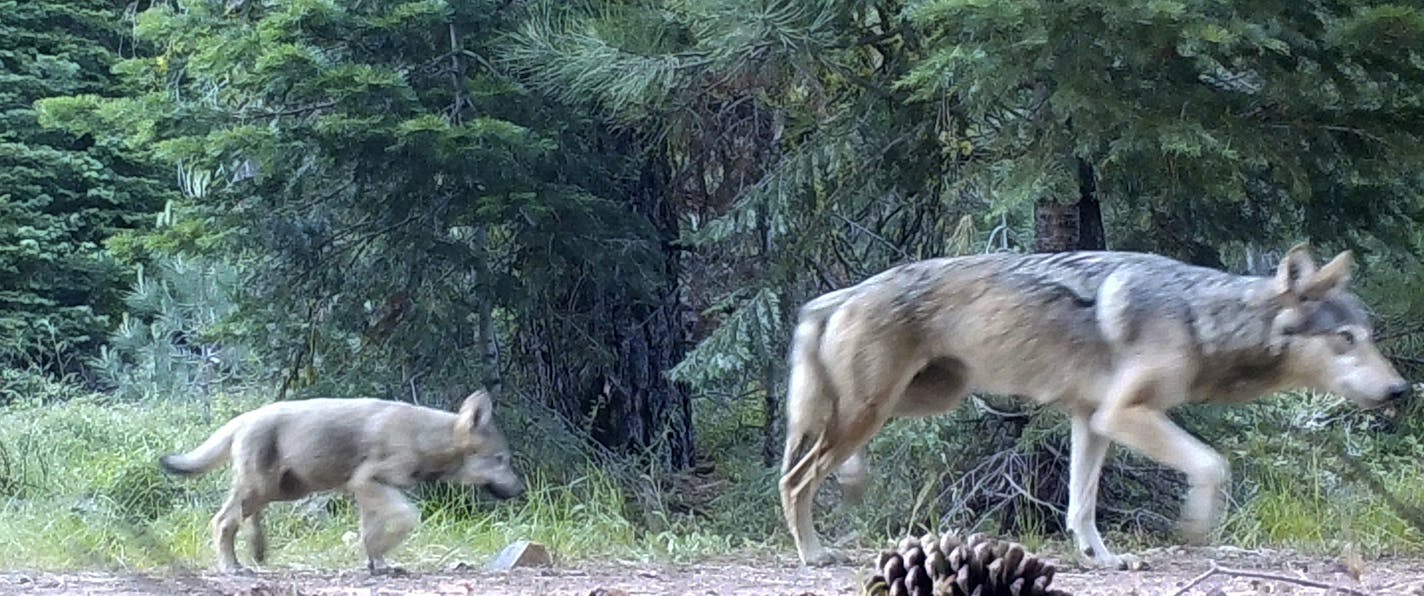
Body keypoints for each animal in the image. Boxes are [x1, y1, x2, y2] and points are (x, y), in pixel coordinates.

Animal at [161, 389, 526, 577]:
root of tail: (244, 417)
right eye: (502, 460)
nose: (521, 490)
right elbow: (406, 517)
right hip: (263, 489)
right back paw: (232, 568)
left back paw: (256, 553)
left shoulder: (365, 491)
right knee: (223, 521)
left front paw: (378, 564)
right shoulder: (366, 482)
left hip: (281, 491)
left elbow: (370, 534)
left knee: (244, 519)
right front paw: (380, 559)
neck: (425, 439)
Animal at [786, 246, 1406, 568]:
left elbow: (1080, 507)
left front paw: (1101, 559)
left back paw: (851, 481)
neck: (1201, 320)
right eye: (1346, 339)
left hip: (923, 399)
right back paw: (813, 553)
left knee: (827, 457)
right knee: (794, 479)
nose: (1402, 391)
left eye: (1370, 336)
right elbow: (1213, 464)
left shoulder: (1091, 420)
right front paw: (1196, 528)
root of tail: (839, 295)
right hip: (878, 407)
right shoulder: (1123, 414)